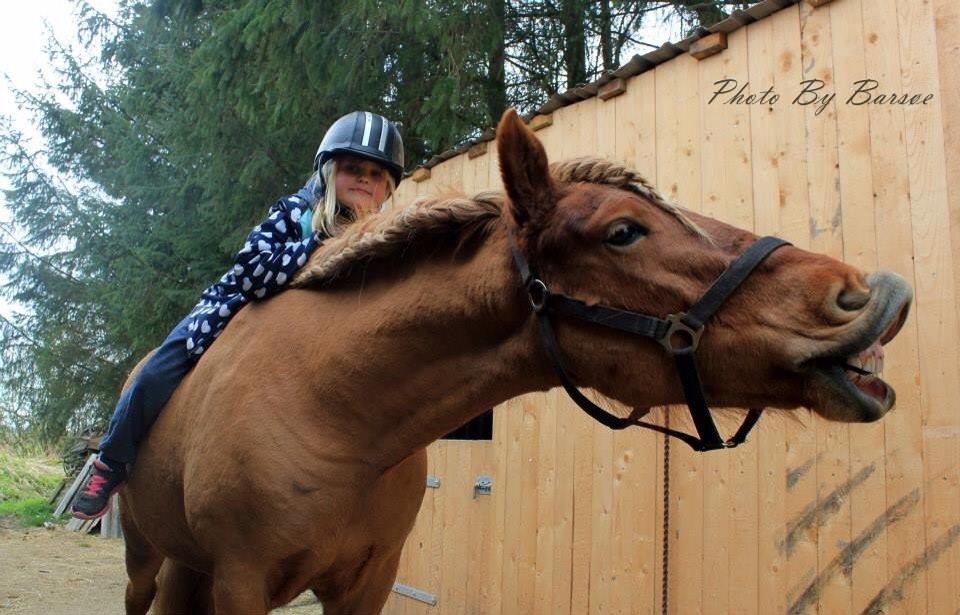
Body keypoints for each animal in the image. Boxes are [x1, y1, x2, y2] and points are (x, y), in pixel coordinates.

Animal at [116, 108, 912, 612]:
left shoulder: (368, 581)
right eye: (623, 231)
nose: (865, 295)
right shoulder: (241, 582)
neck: (331, 411)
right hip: (145, 558)